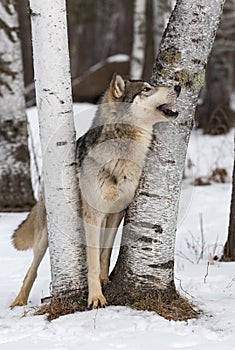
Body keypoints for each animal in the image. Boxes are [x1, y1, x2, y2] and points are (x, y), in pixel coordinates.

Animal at [10, 74, 180, 308]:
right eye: (146, 89)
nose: (178, 86)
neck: (122, 156)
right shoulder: (93, 215)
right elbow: (92, 261)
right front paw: (96, 297)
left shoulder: (117, 212)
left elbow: (105, 253)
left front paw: (104, 280)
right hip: (46, 237)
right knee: (31, 269)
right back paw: (18, 302)